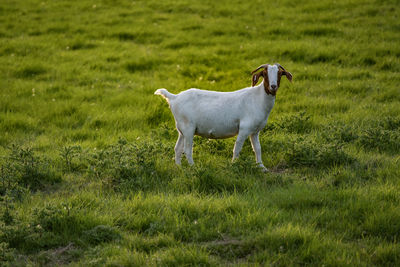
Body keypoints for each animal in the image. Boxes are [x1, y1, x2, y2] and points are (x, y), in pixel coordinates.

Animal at [155, 63, 292, 172]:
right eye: (264, 74)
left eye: (280, 74)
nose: (273, 86)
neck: (258, 98)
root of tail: (174, 97)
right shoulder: (244, 128)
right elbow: (237, 148)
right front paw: (234, 165)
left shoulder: (255, 131)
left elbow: (257, 149)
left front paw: (262, 168)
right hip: (188, 128)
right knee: (187, 149)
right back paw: (193, 167)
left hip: (181, 129)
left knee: (177, 149)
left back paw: (179, 167)